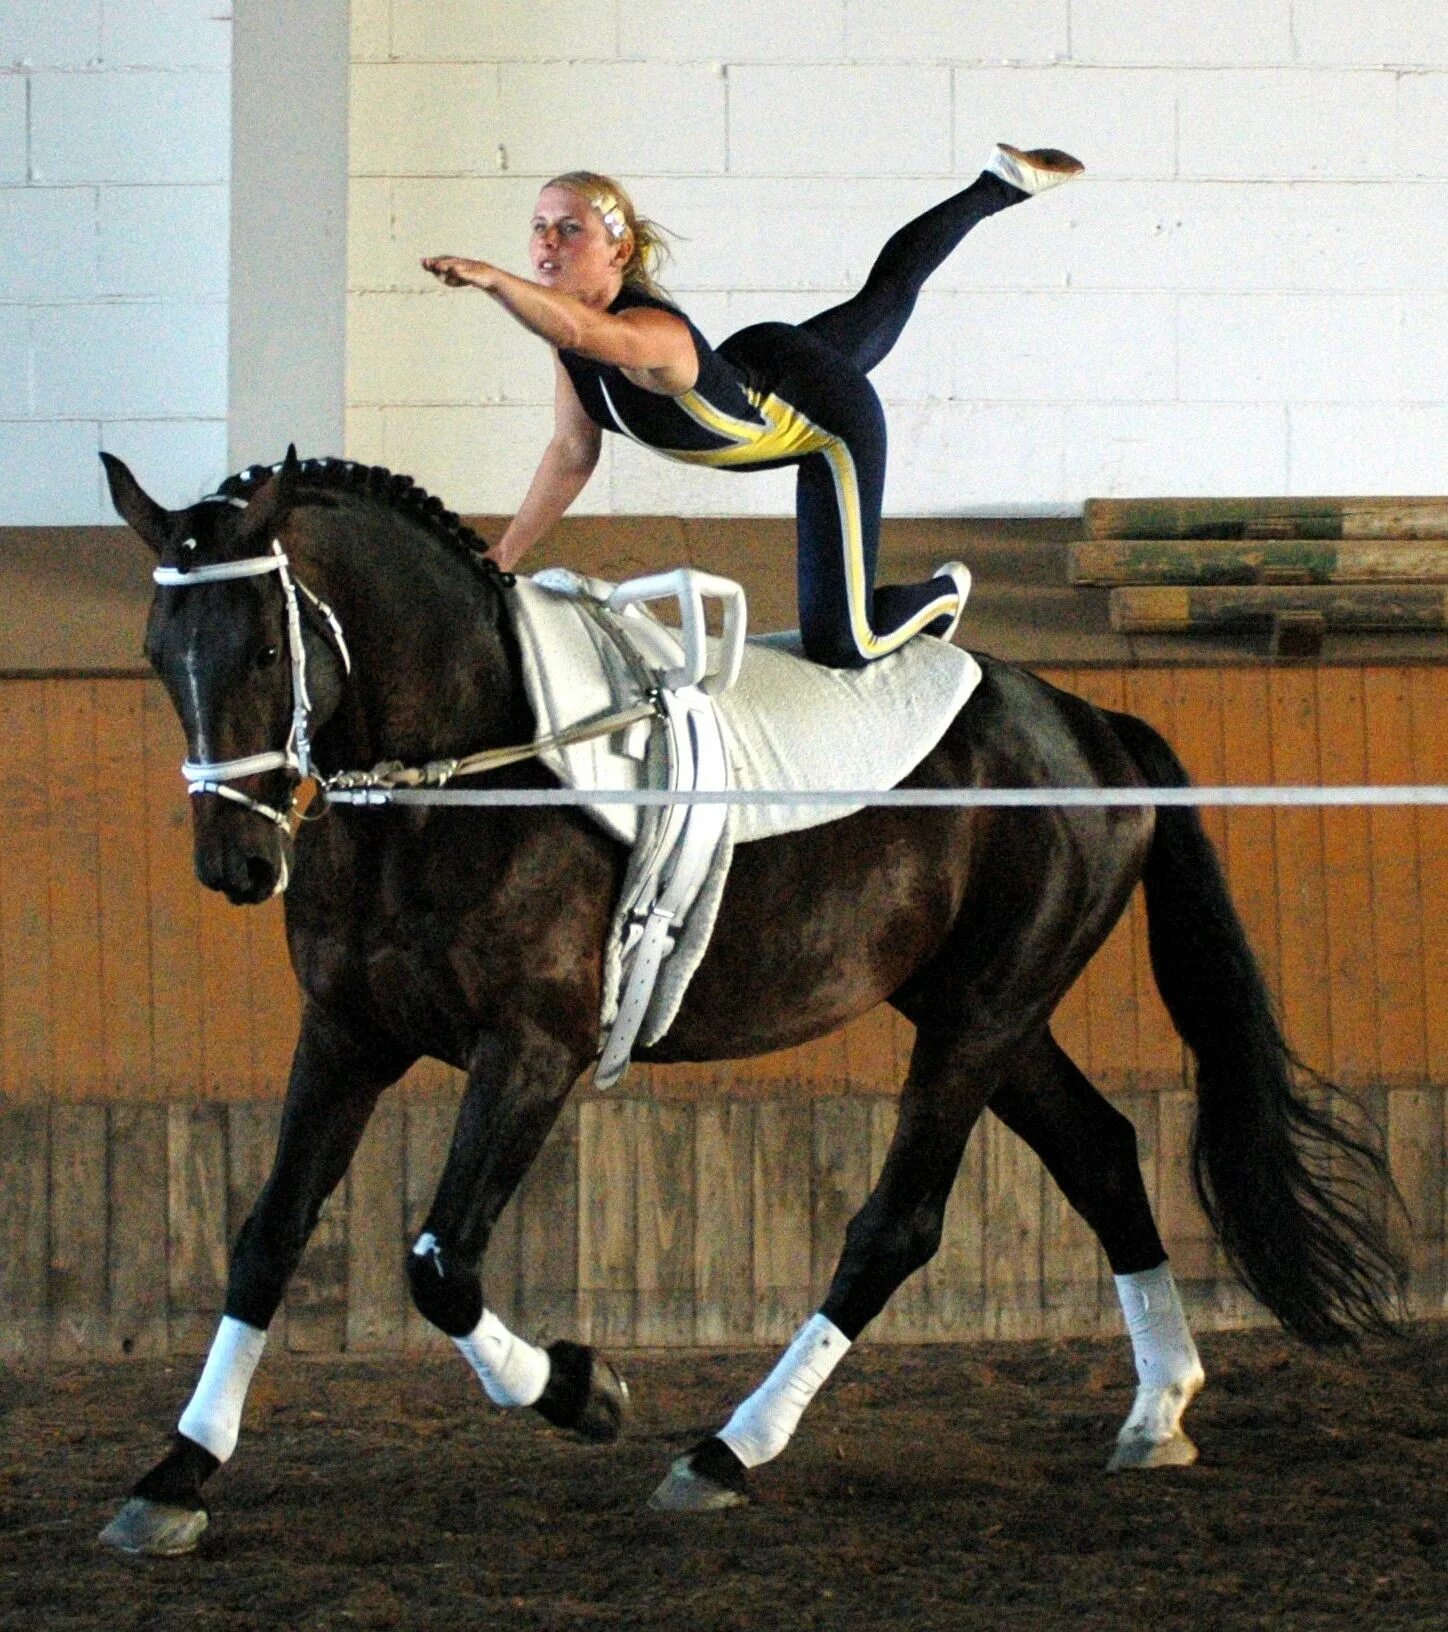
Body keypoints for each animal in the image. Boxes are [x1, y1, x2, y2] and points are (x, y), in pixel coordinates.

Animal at [93, 450, 1403, 1553]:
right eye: (159, 651)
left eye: (266, 654)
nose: (234, 865)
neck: (461, 777)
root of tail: (1090, 727)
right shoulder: (348, 1035)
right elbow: (266, 1237)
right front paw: (175, 1477)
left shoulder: (530, 1050)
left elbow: (439, 1265)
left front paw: (585, 1392)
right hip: (985, 1011)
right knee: (1100, 1154)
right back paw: (1157, 1410)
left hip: (980, 1016)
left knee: (896, 1226)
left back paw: (726, 1451)